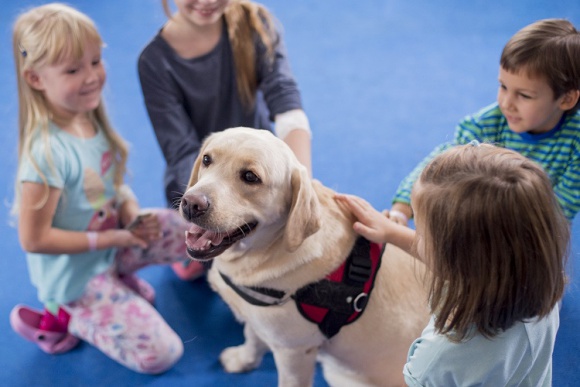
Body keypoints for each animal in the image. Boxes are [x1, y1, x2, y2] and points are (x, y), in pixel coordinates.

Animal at [181, 129, 430, 386]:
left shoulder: (294, 352)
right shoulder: (257, 318)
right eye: (207, 159)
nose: (191, 203)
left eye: (250, 177)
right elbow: (252, 337)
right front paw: (243, 359)